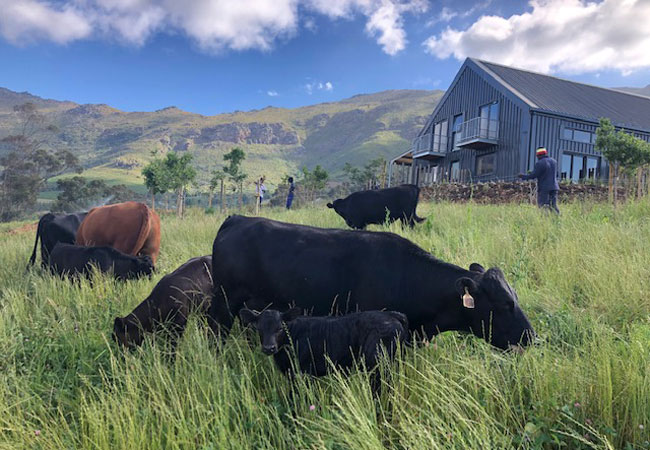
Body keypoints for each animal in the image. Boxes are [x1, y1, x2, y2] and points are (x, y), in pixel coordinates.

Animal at [238, 310, 408, 390]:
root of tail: (390, 315)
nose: (269, 348)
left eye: (280, 328)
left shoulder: (303, 374)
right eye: (259, 328)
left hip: (378, 364)